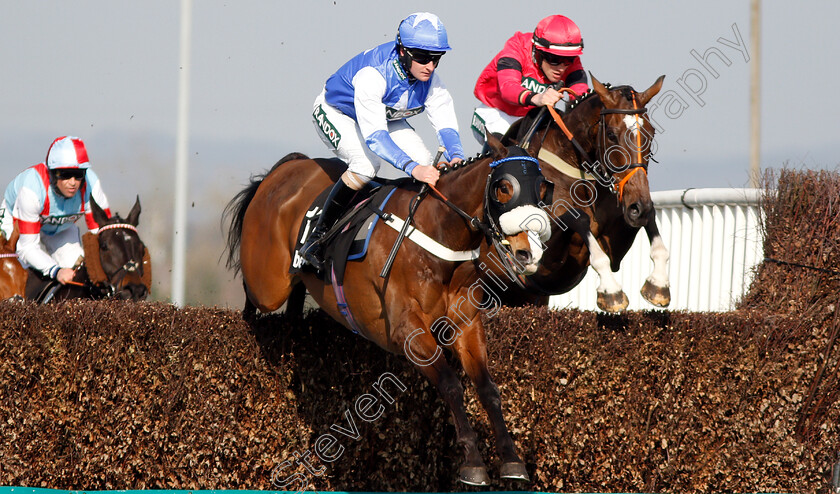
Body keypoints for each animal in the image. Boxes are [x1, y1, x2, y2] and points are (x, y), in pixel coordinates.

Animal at [225, 136, 552, 486]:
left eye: (542, 188)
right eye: (504, 187)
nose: (528, 253)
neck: (439, 233)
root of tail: (285, 168)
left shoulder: (466, 325)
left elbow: (488, 389)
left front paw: (512, 460)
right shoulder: (407, 330)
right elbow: (451, 385)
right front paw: (473, 463)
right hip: (268, 284)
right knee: (253, 293)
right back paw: (249, 321)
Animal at [498, 74, 668, 310]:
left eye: (650, 134)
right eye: (612, 135)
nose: (637, 207)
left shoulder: (618, 239)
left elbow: (650, 218)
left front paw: (658, 284)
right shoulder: (544, 259)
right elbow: (577, 218)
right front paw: (611, 291)